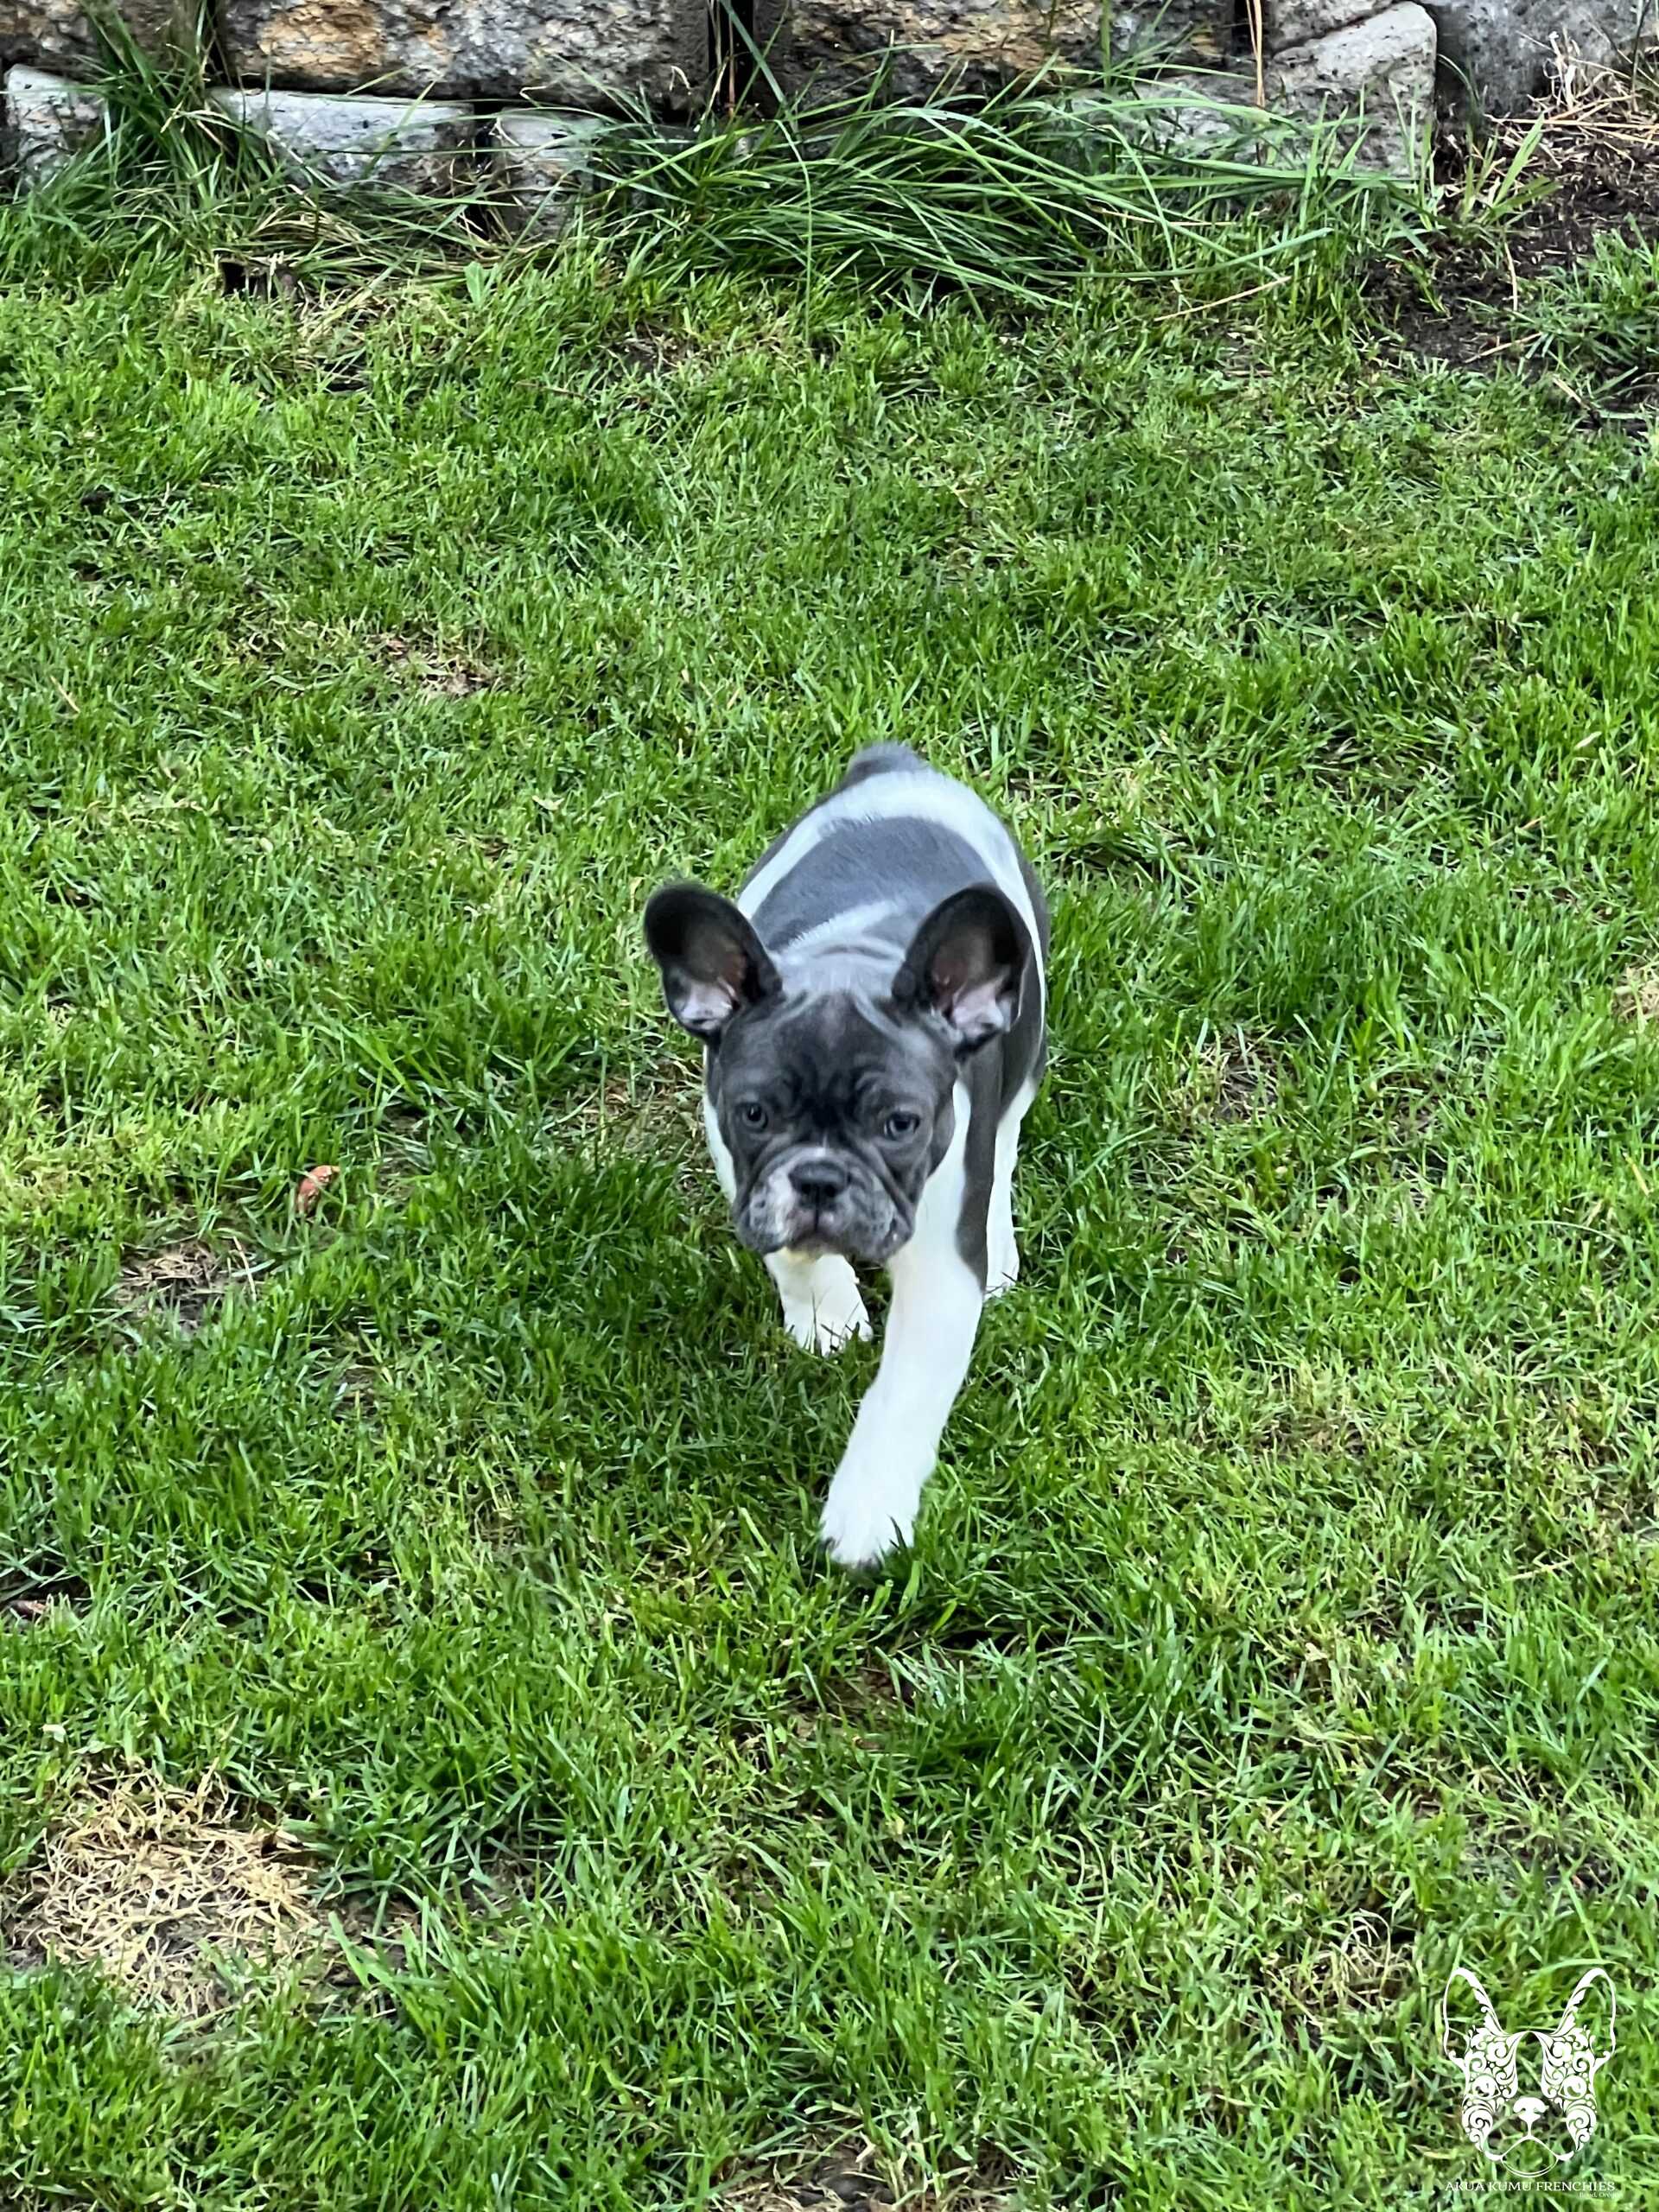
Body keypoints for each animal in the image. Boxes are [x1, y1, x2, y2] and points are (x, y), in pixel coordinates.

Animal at [650, 747, 1052, 1574]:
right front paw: (826, 1318)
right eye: (755, 1114)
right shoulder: (741, 1165)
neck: (851, 961)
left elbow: (903, 1398)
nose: (821, 1177)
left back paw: (1000, 1244)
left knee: (1007, 1135)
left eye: (901, 1125)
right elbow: (790, 1253)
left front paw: (868, 1517)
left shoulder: (940, 1269)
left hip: (1030, 1036)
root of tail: (899, 766)